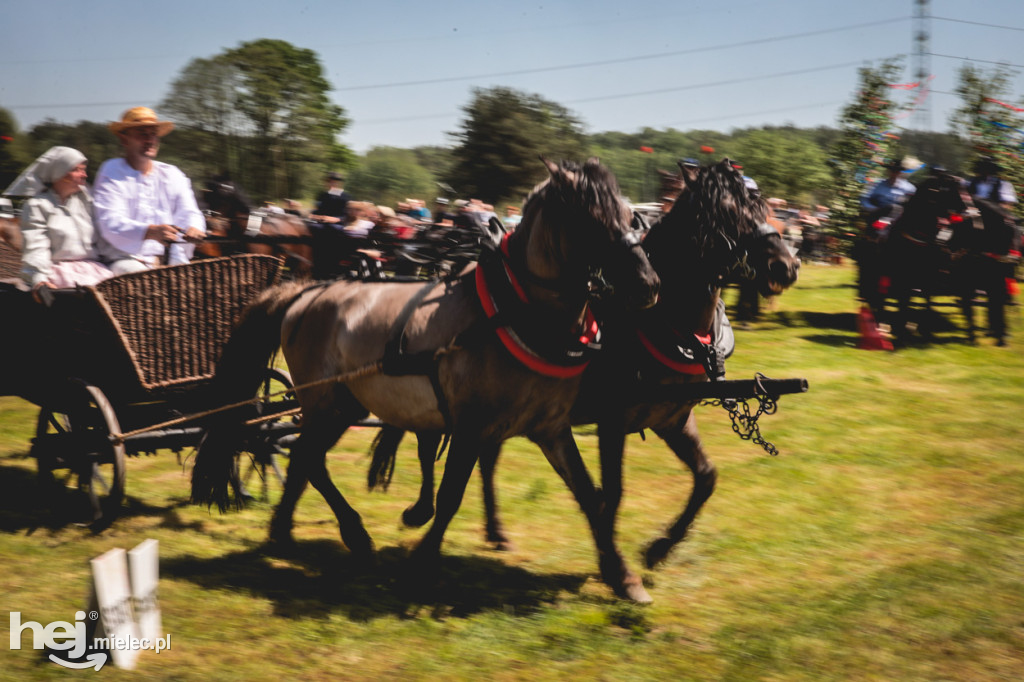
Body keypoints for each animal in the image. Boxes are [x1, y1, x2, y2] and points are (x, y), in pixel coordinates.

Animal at [190, 159, 655, 593]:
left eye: (630, 215)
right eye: (592, 218)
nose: (648, 284)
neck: (511, 312)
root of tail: (305, 292)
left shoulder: (550, 427)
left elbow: (590, 495)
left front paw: (622, 576)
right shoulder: (471, 425)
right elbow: (450, 495)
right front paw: (422, 561)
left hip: (346, 404)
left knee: (306, 460)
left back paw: (284, 530)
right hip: (326, 404)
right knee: (309, 460)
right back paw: (350, 533)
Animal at [368, 159, 798, 593]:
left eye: (762, 206)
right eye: (726, 213)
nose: (787, 265)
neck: (662, 321)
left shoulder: (672, 419)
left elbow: (706, 477)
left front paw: (657, 550)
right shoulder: (613, 420)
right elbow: (613, 491)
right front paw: (613, 560)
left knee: (485, 459)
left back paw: (495, 532)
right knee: (428, 443)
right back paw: (421, 510)